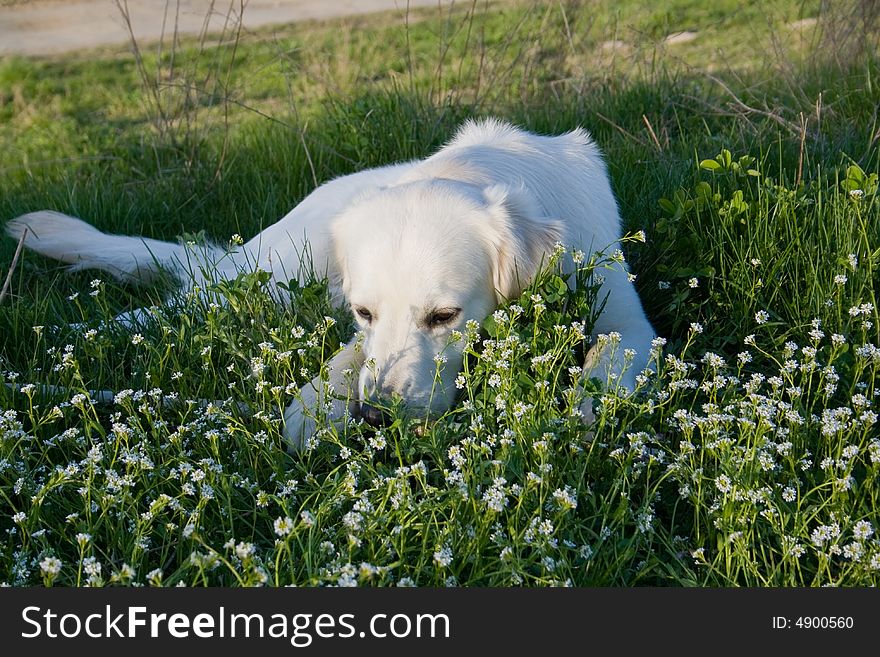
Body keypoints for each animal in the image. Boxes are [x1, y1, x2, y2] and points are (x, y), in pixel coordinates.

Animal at [5, 119, 652, 446]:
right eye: (364, 313)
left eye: (443, 317)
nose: (377, 419)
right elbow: (347, 360)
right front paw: (315, 408)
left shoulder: (623, 307)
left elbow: (612, 355)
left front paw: (587, 410)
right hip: (277, 271)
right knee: (175, 303)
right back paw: (73, 337)